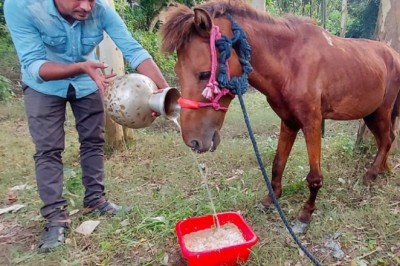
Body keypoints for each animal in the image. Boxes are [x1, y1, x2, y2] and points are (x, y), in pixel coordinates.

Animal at [161, 0, 400, 233]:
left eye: (203, 74)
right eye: (178, 71)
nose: (193, 141)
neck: (291, 64)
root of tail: (394, 55)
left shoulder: (312, 123)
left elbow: (314, 177)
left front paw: (305, 215)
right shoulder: (289, 122)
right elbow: (278, 163)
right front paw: (271, 199)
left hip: (380, 112)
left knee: (386, 139)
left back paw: (371, 175)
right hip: (371, 114)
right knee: (386, 139)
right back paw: (380, 170)